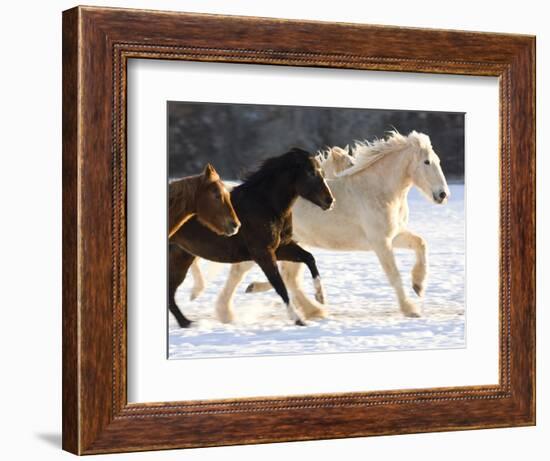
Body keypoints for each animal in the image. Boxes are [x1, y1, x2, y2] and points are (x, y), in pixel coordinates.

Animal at [168, 148, 334, 328]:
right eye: (311, 172)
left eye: (322, 172)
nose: (330, 201)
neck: (265, 204)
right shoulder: (263, 253)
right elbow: (279, 285)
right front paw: (297, 318)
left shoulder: (281, 247)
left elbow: (309, 258)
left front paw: (320, 297)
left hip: (182, 258)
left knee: (170, 292)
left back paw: (186, 322)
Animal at [201, 131, 450, 322]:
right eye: (427, 162)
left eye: (439, 161)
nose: (442, 195)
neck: (377, 191)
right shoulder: (380, 242)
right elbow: (394, 275)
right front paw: (411, 309)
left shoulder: (393, 236)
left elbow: (420, 243)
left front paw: (418, 285)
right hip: (265, 246)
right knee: (242, 272)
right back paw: (227, 313)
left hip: (291, 244)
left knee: (289, 278)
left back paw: (313, 309)